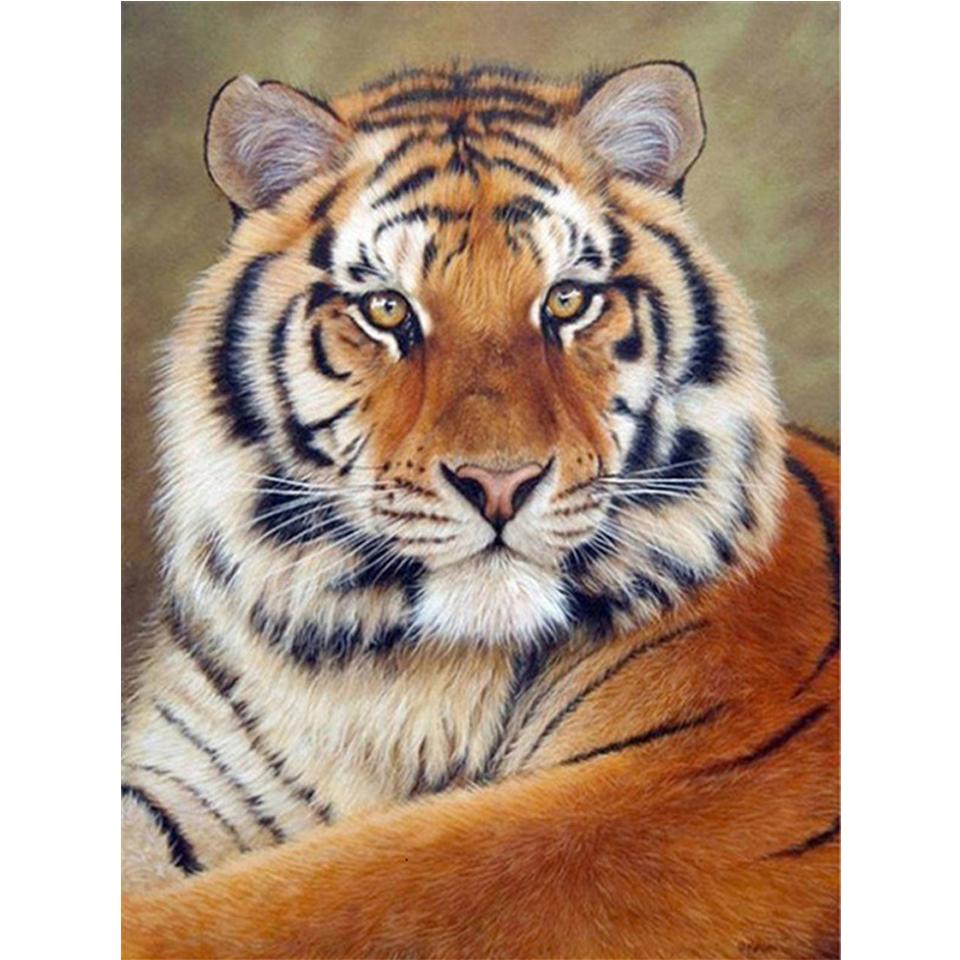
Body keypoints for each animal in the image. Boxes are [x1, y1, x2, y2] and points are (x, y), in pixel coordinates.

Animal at [121, 60, 839, 959]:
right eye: (387, 309)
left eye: (567, 301)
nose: (499, 484)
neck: (389, 673)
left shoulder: (680, 788)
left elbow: (333, 894)